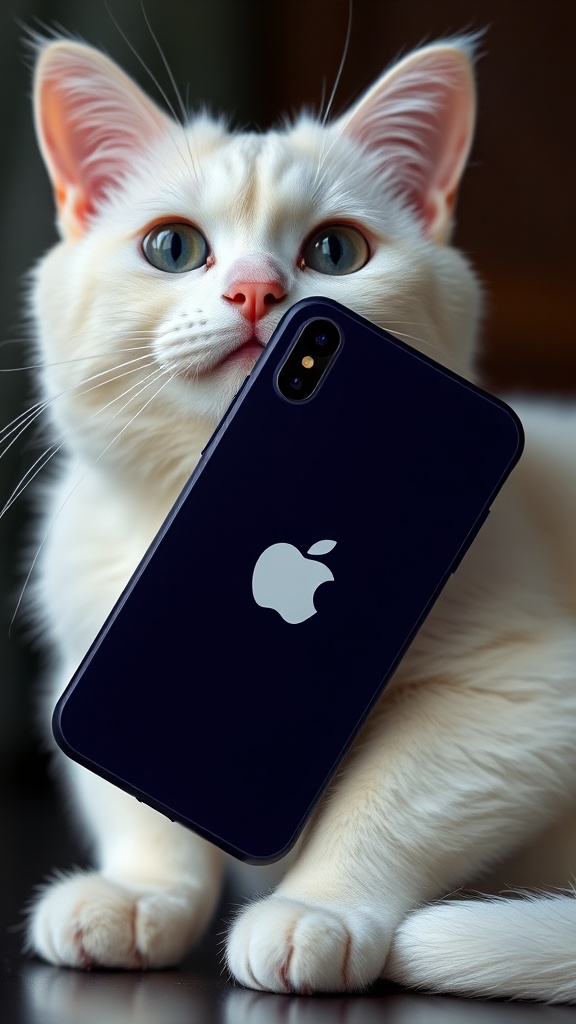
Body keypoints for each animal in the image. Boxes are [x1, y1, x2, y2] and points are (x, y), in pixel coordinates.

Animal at [20, 36, 573, 1003]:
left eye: (335, 250)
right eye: (173, 247)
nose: (256, 292)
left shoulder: (527, 695)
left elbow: (393, 792)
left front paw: (316, 908)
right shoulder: (87, 659)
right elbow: (136, 799)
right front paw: (141, 892)